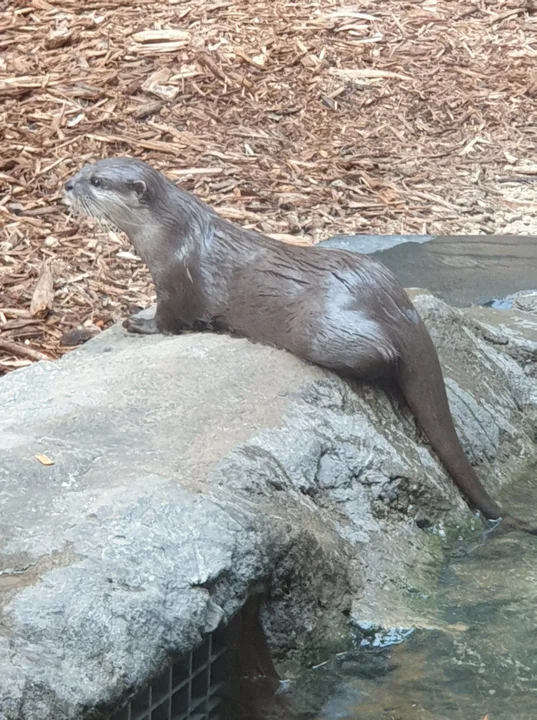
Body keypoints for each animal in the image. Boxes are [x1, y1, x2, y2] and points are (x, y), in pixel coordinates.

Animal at [65, 158, 532, 536]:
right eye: (86, 167)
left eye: (97, 181)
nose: (68, 184)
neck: (171, 234)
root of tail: (399, 307)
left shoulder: (176, 282)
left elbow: (168, 321)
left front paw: (136, 323)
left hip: (318, 329)